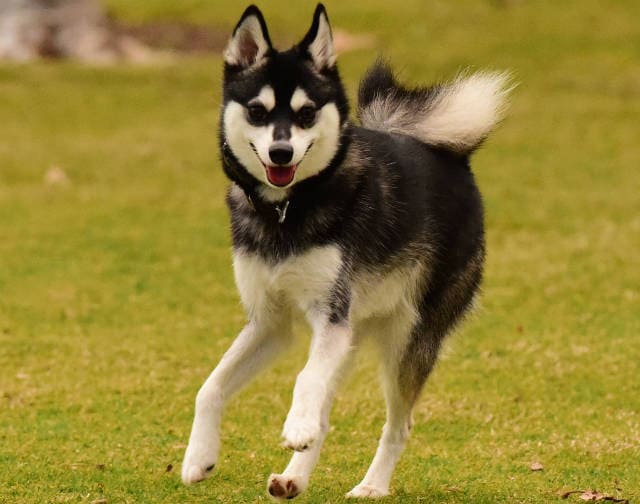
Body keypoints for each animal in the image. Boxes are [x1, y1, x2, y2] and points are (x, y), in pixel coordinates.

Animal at [181, 2, 510, 500]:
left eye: (307, 113)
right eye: (257, 111)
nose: (281, 153)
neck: (289, 211)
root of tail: (451, 155)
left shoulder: (329, 318)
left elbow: (304, 380)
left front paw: (295, 427)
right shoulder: (271, 324)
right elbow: (210, 387)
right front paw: (198, 458)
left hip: (405, 342)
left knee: (398, 425)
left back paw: (371, 485)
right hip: (353, 333)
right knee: (326, 414)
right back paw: (293, 478)